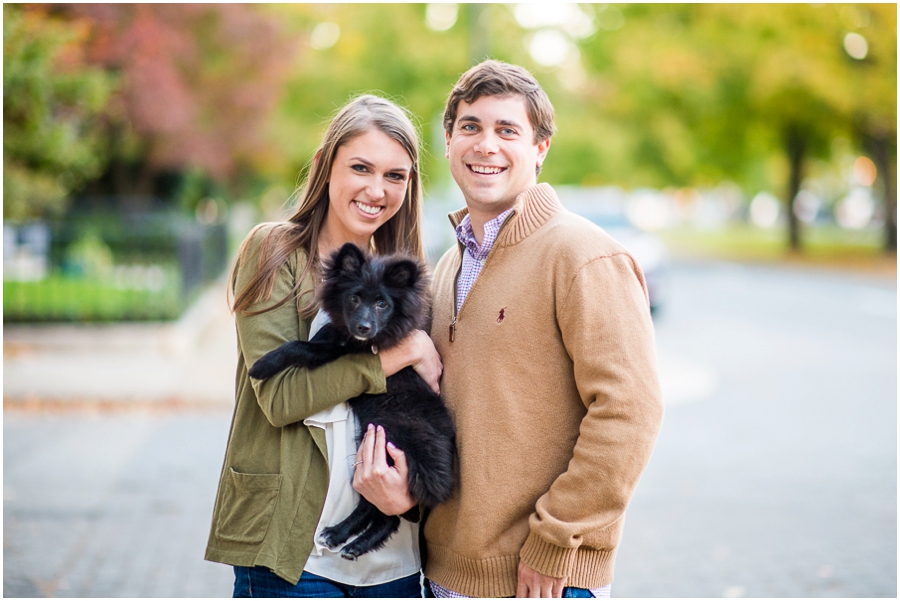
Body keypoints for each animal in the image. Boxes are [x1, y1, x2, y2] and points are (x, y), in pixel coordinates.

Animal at [248, 241, 454, 560]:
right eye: (354, 298)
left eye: (382, 304)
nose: (363, 328)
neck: (357, 341)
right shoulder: (339, 338)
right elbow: (324, 333)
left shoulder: (341, 354)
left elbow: (301, 346)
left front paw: (262, 365)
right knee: (378, 511)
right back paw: (343, 537)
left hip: (386, 453)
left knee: (386, 514)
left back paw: (348, 541)